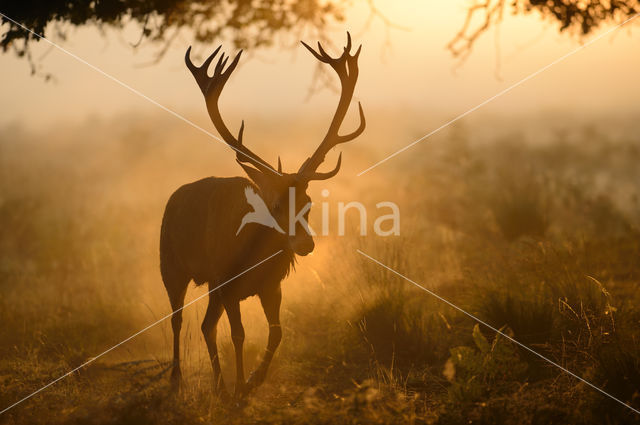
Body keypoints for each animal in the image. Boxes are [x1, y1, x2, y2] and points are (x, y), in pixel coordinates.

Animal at [160, 32, 364, 398]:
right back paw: (178, 378)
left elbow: (276, 331)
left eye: (309, 202)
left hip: (211, 285)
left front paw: (254, 379)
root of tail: (172, 199)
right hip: (171, 266)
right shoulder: (227, 282)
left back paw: (218, 384)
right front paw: (241, 384)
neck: (254, 257)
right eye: (276, 206)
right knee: (178, 319)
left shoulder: (271, 285)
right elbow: (239, 334)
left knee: (205, 325)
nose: (305, 245)